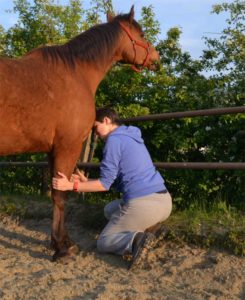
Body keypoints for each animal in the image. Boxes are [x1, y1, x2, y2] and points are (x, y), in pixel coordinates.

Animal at [0, 5, 160, 262]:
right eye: (142, 34)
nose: (156, 59)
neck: (76, 73)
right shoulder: (68, 146)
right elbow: (60, 195)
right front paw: (63, 247)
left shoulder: (53, 150)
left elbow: (57, 192)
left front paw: (62, 242)